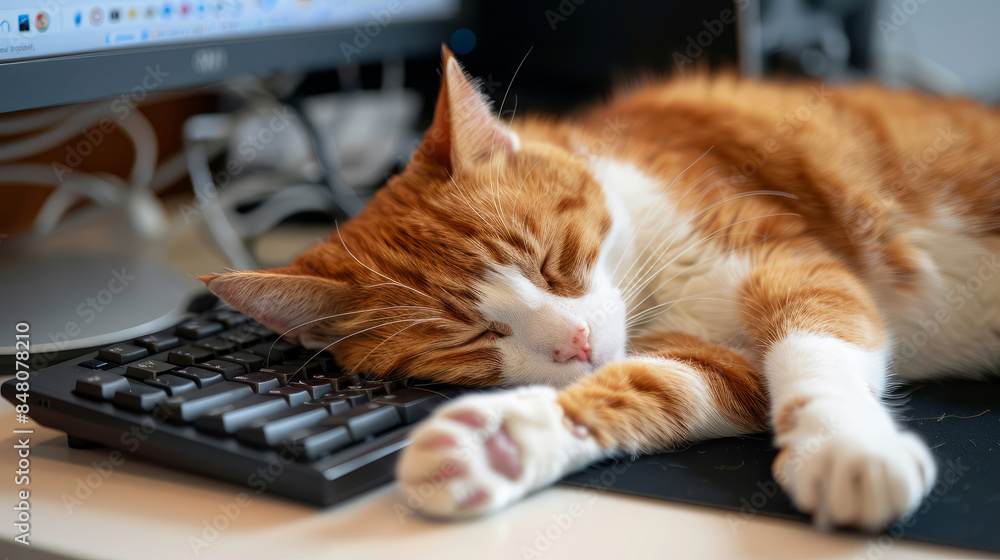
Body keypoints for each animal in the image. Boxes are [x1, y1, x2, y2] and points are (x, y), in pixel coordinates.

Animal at [199, 47, 1000, 528]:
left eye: (553, 263)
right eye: (474, 335)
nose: (578, 341)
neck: (654, 286)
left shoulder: (791, 261)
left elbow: (814, 348)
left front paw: (844, 445)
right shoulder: (716, 364)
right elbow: (647, 388)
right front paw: (503, 444)